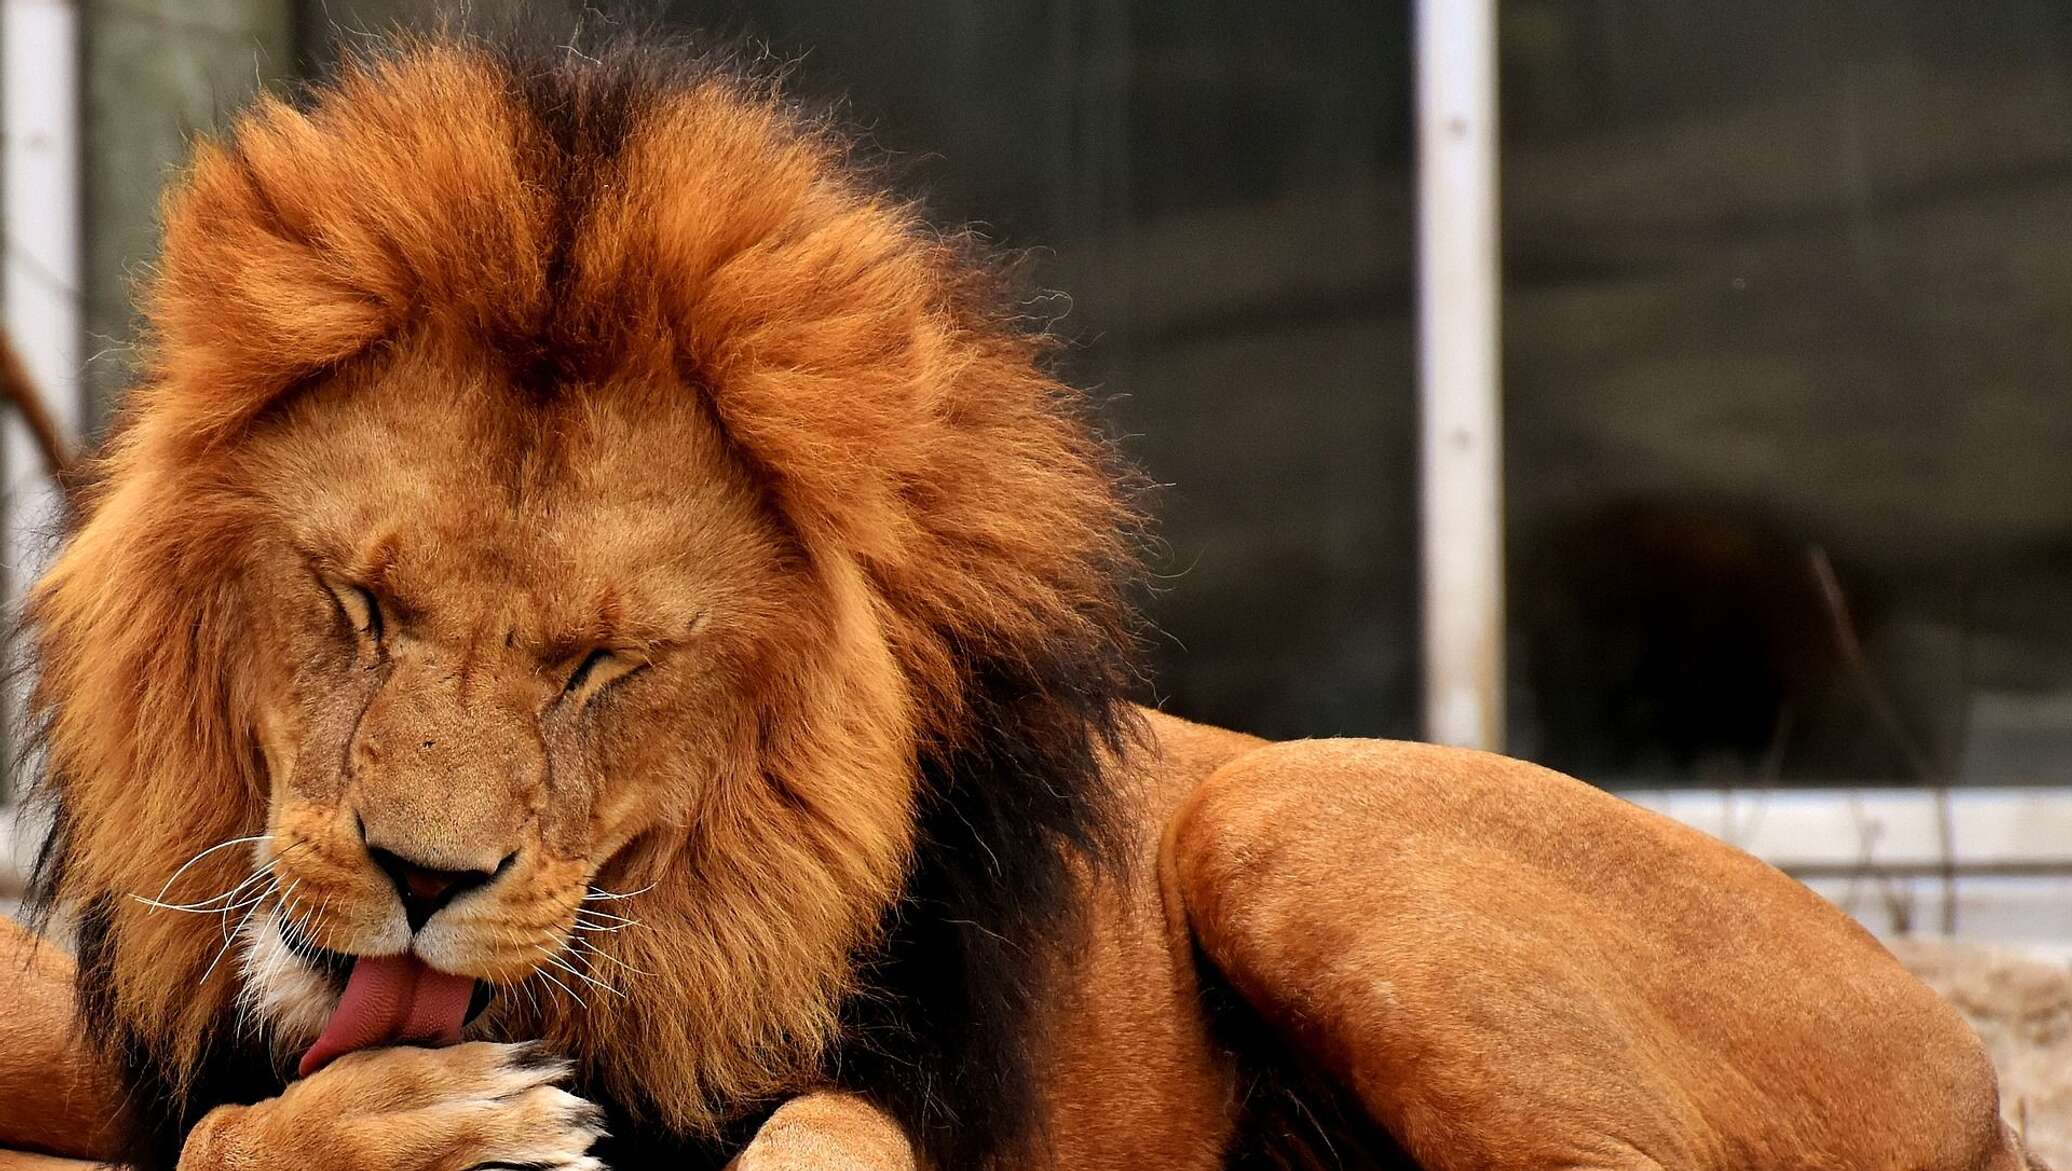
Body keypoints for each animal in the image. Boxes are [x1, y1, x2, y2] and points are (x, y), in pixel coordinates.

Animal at [0, 22, 2047, 1168]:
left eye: (599, 666)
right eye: (357, 603)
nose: (422, 881)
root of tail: (1971, 1063)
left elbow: (823, 1132)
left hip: (1287, 818)